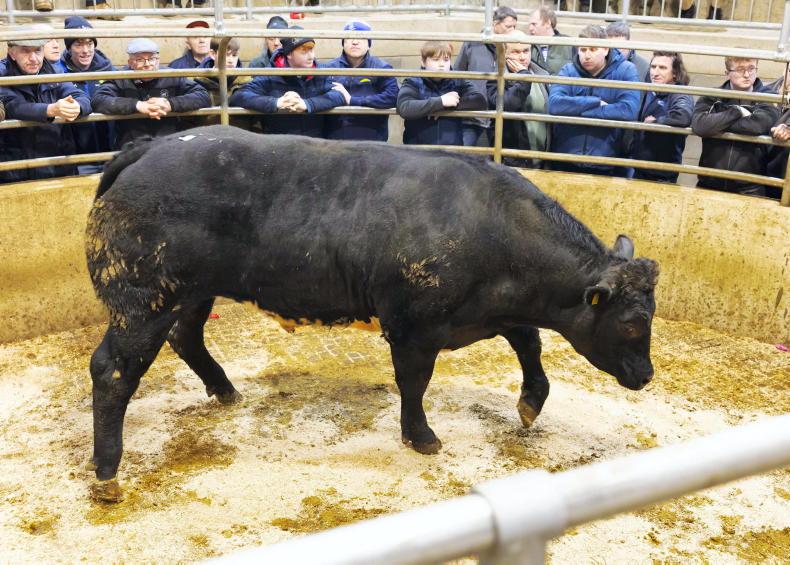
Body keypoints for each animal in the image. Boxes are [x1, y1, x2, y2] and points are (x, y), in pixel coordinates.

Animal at [85, 125, 658, 502]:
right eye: (632, 323)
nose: (647, 375)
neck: (494, 229)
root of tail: (152, 145)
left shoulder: (495, 311)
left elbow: (530, 342)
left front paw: (531, 403)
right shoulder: (413, 326)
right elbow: (415, 382)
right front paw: (421, 436)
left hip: (189, 294)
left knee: (187, 338)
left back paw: (225, 390)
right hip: (143, 301)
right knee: (112, 371)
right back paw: (108, 470)